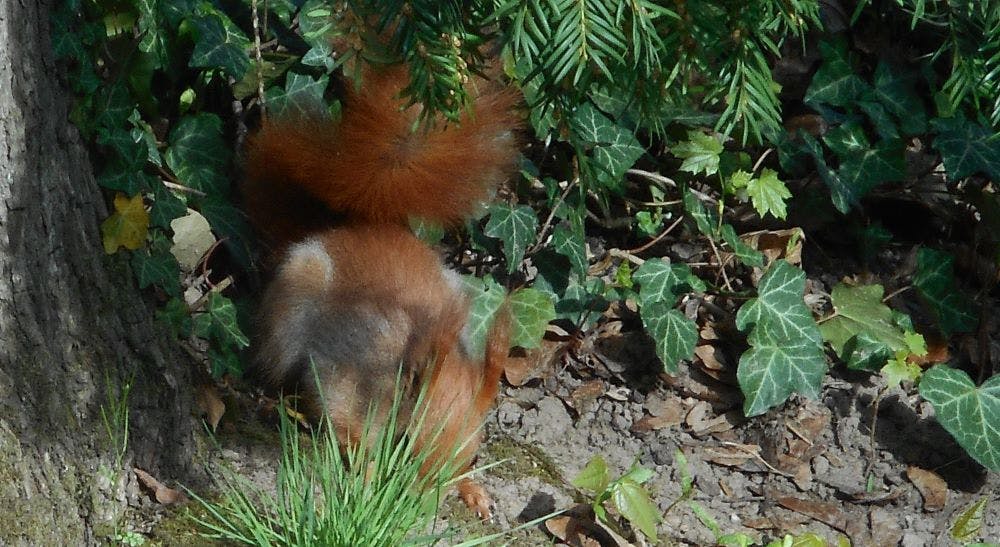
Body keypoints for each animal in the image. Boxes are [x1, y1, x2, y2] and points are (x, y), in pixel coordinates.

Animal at [242, 63, 520, 519]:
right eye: (402, 442)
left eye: (472, 458)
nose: (417, 509)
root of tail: (353, 227)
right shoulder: (342, 374)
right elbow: (340, 421)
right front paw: (370, 470)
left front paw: (472, 490)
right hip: (292, 304)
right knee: (274, 365)